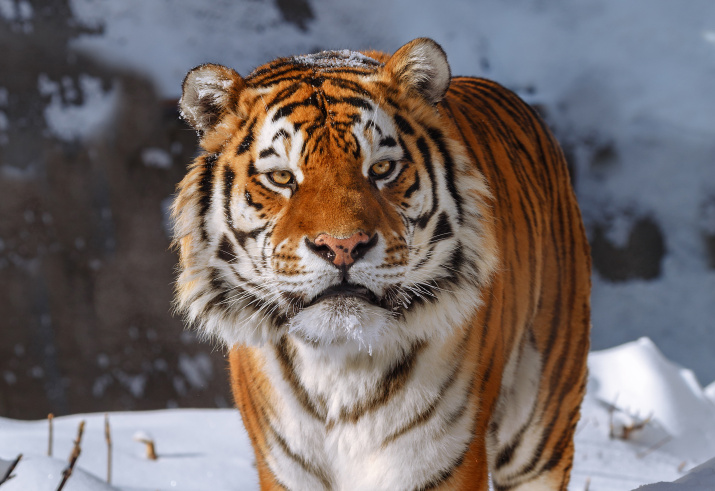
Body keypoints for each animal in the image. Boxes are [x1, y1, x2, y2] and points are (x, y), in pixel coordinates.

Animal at [173, 36, 592, 490]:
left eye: (382, 168)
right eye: (282, 178)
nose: (342, 246)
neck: (339, 365)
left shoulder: (444, 460)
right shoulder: (284, 466)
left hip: (541, 422)